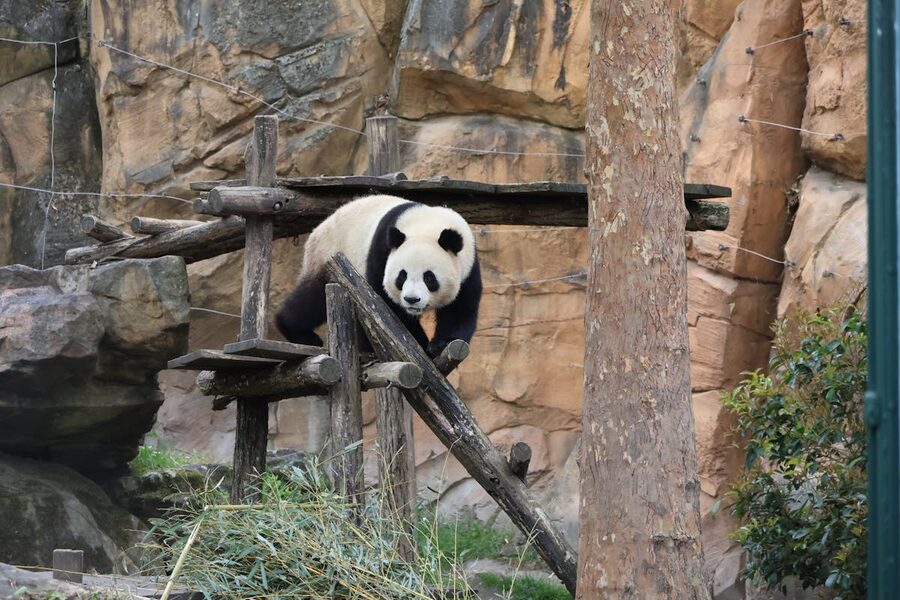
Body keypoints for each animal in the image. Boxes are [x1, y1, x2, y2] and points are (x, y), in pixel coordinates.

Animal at [275, 194, 482, 358]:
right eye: (402, 276)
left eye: (429, 278)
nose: (411, 299)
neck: (427, 225)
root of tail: (316, 231)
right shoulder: (381, 252)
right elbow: (386, 309)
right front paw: (420, 346)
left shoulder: (468, 266)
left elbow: (461, 307)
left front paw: (440, 344)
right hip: (329, 255)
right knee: (313, 299)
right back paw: (298, 331)